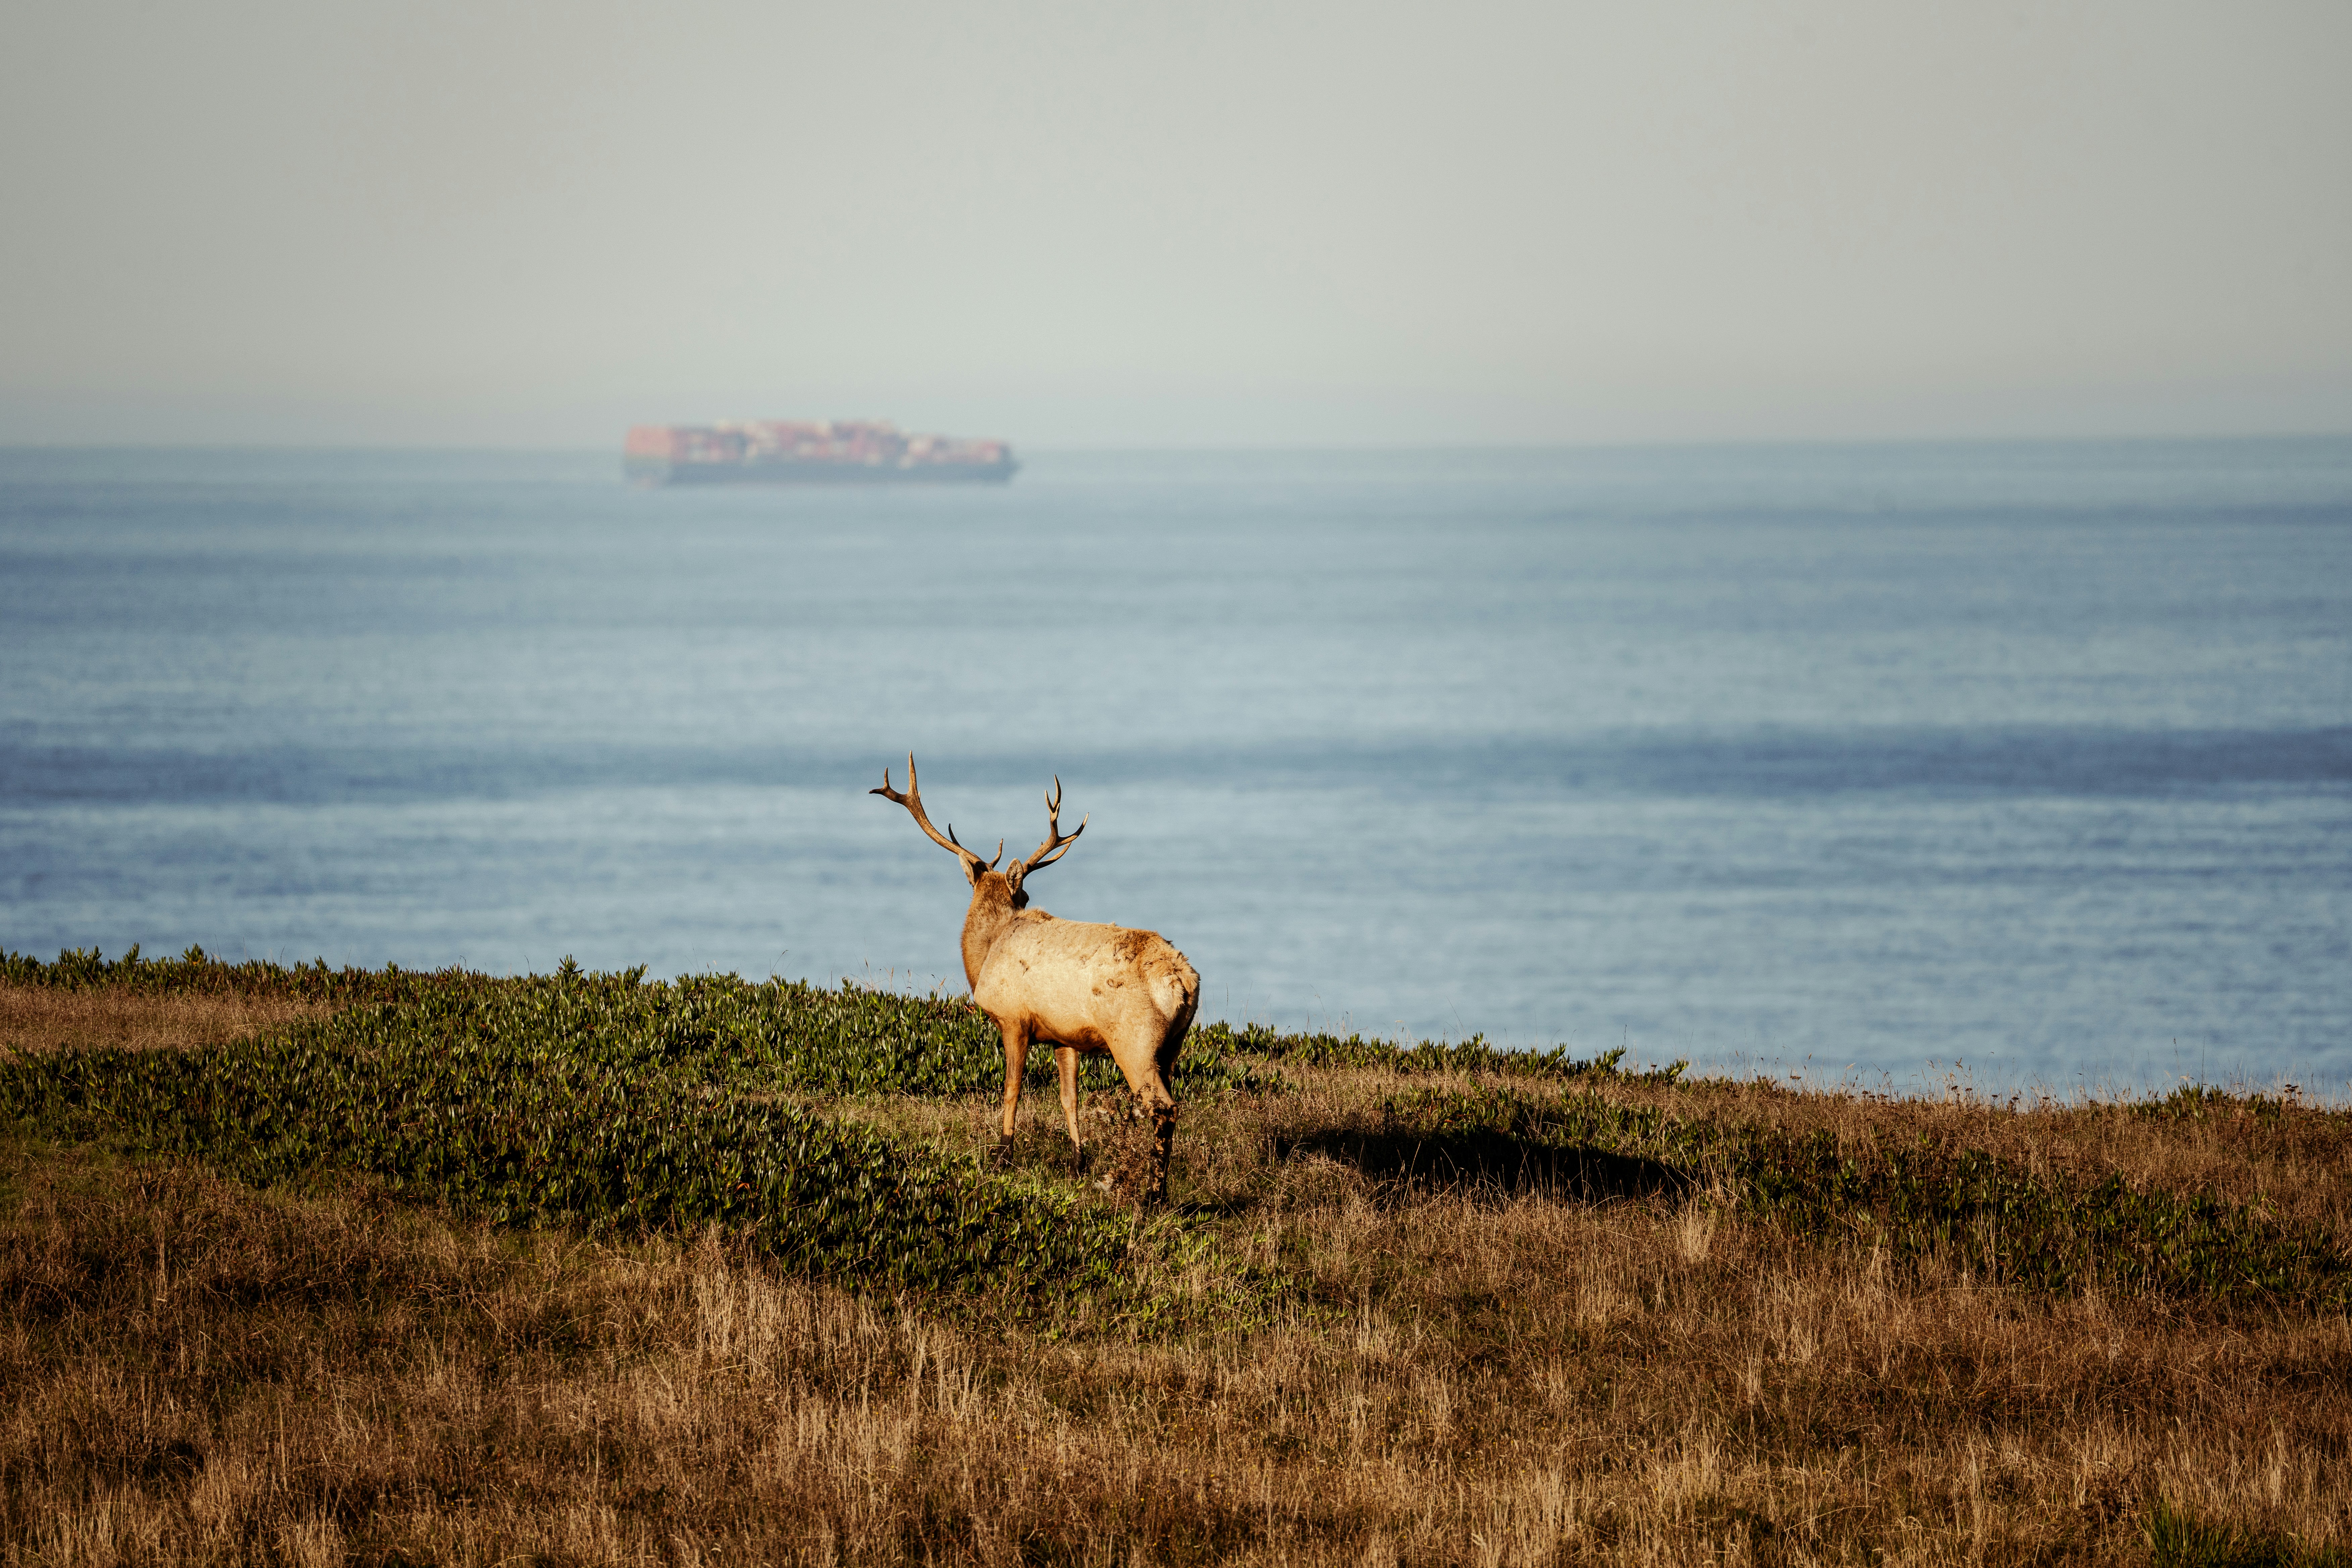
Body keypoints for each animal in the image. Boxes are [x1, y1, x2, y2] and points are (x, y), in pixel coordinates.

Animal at [872, 755, 1199, 1203]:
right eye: (1025, 895)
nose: (1025, 894)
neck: (986, 956)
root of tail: (1182, 980)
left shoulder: (1014, 1019)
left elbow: (1011, 1089)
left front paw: (1002, 1156)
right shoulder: (1065, 1035)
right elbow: (1069, 1098)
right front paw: (1078, 1163)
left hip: (1134, 1039)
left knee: (1163, 1107)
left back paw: (1154, 1195)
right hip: (1172, 1045)